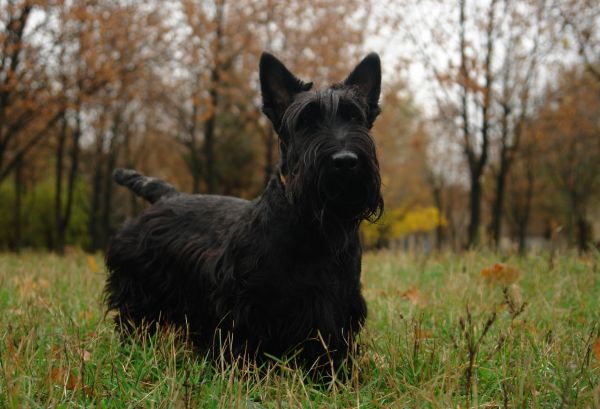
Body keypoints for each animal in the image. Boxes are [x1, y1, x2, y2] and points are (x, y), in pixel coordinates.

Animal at [105, 51, 382, 376]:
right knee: (134, 318)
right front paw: (241, 373)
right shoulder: (245, 305)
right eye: (306, 121)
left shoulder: (338, 305)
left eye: (355, 117)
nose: (345, 161)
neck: (314, 227)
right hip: (139, 287)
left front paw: (332, 377)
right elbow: (241, 343)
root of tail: (168, 195)